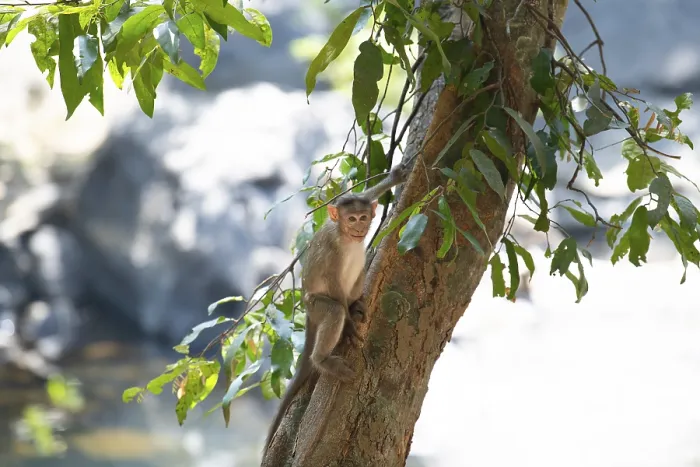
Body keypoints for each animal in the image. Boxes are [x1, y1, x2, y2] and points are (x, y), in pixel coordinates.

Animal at [263, 160, 411, 452]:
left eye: (363, 217)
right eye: (351, 219)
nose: (359, 228)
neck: (345, 237)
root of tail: (307, 309)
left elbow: (368, 193)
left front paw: (393, 178)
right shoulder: (332, 251)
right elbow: (332, 283)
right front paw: (350, 328)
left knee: (359, 271)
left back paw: (356, 304)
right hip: (315, 305)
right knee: (334, 310)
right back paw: (323, 357)